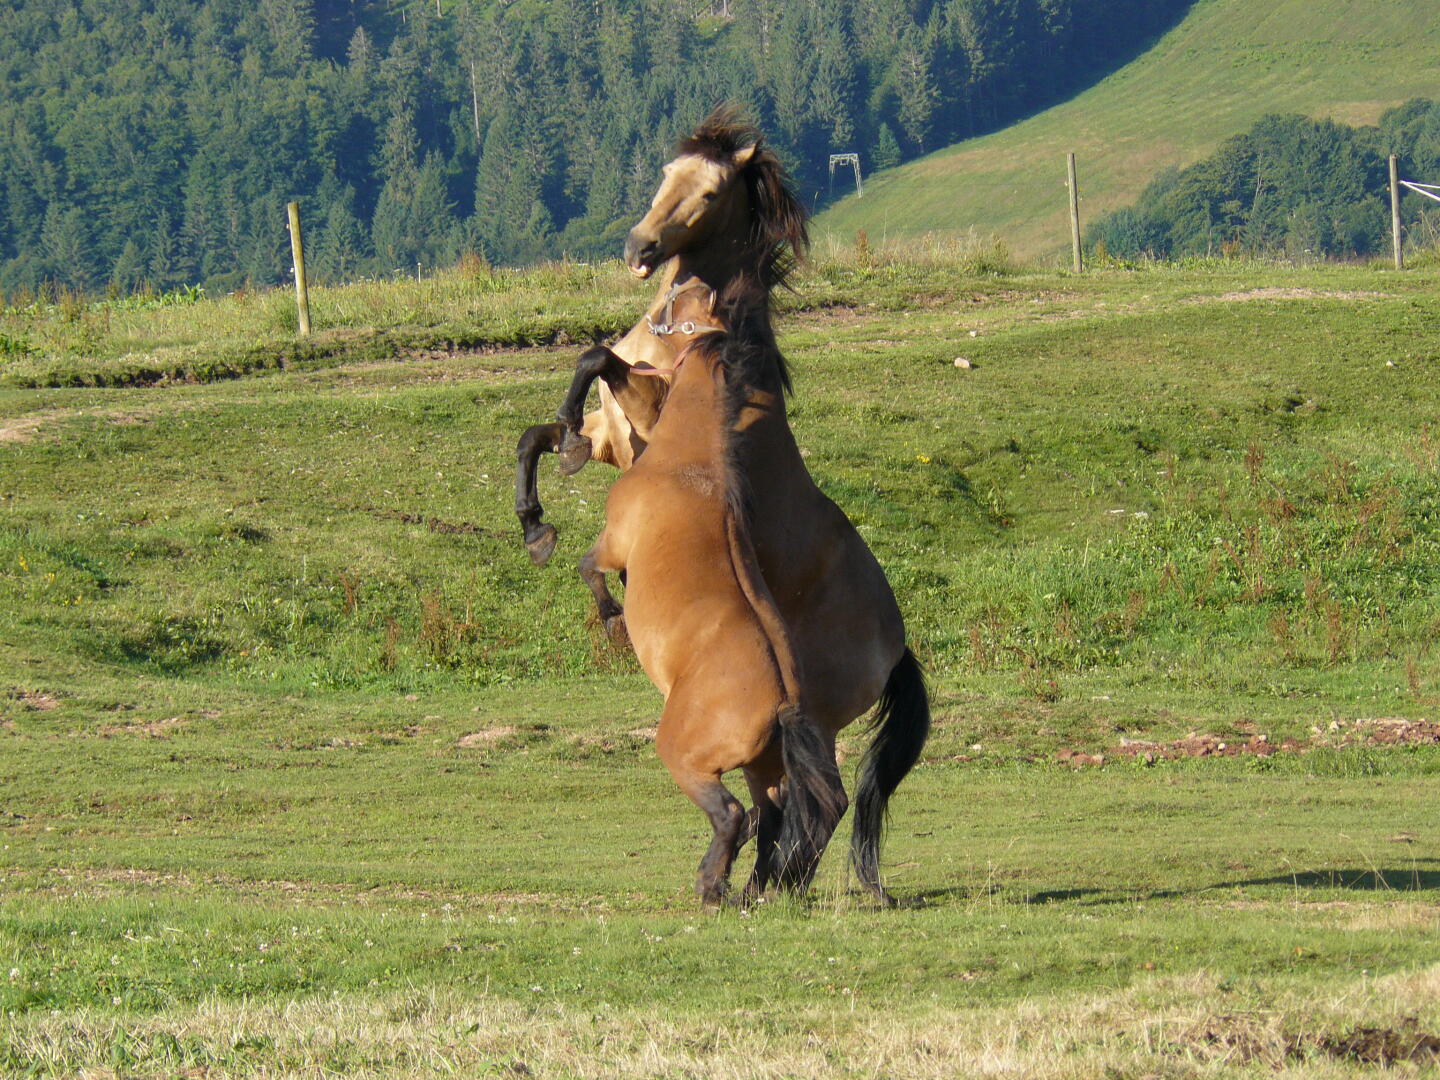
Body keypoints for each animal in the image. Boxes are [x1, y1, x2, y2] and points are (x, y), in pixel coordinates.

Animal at [578, 276, 929, 904]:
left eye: (683, 309)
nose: (683, 286)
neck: (696, 464)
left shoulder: (614, 541)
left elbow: (589, 568)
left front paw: (611, 616)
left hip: (689, 756)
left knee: (739, 816)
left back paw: (719, 885)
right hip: (772, 761)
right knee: (790, 810)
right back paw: (761, 888)